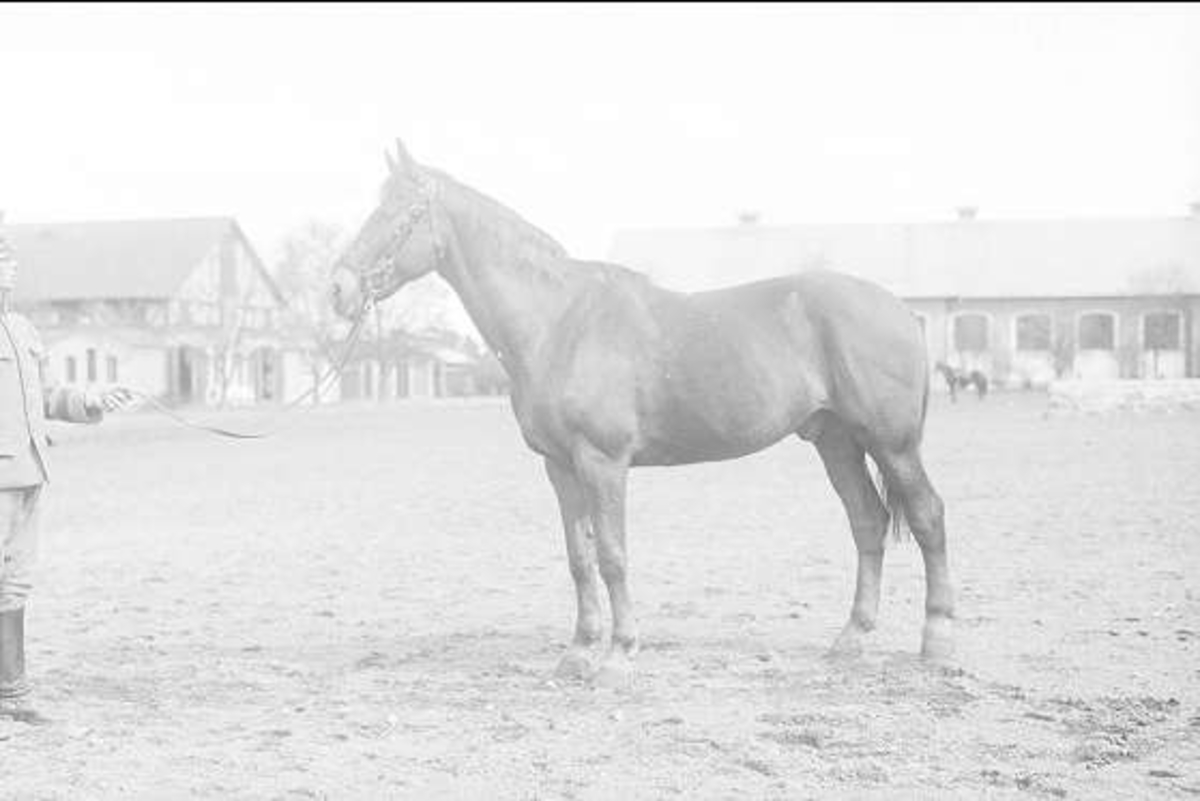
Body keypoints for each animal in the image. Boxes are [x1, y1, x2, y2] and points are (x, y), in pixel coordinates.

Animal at [329, 140, 954, 685]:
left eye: (401, 211)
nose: (338, 288)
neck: (559, 321)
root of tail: (901, 311)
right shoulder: (560, 467)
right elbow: (579, 557)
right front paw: (579, 652)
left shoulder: (603, 462)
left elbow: (611, 555)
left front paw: (618, 656)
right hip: (836, 441)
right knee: (867, 522)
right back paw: (852, 638)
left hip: (891, 443)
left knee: (927, 516)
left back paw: (937, 640)